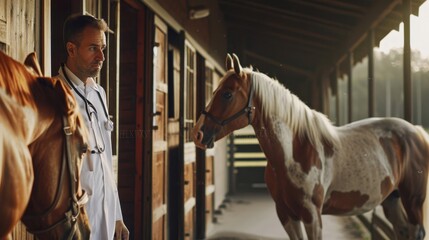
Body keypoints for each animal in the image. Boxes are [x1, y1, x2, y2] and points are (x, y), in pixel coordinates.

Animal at [193, 53, 428, 239]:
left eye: (227, 94)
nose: (197, 134)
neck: (294, 152)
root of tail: (417, 131)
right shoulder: (286, 214)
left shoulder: (312, 216)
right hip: (392, 199)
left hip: (413, 201)